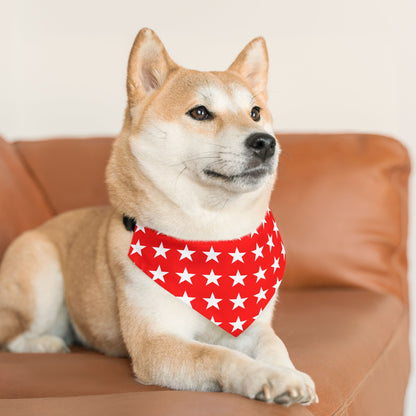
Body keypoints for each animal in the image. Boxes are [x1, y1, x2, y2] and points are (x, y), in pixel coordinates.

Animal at [0, 28, 316, 406]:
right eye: (200, 112)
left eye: (255, 112)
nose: (265, 142)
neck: (210, 235)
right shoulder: (156, 344)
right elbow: (220, 355)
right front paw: (267, 377)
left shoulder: (252, 323)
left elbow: (273, 343)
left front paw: (289, 372)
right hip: (41, 273)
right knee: (14, 336)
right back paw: (46, 343)